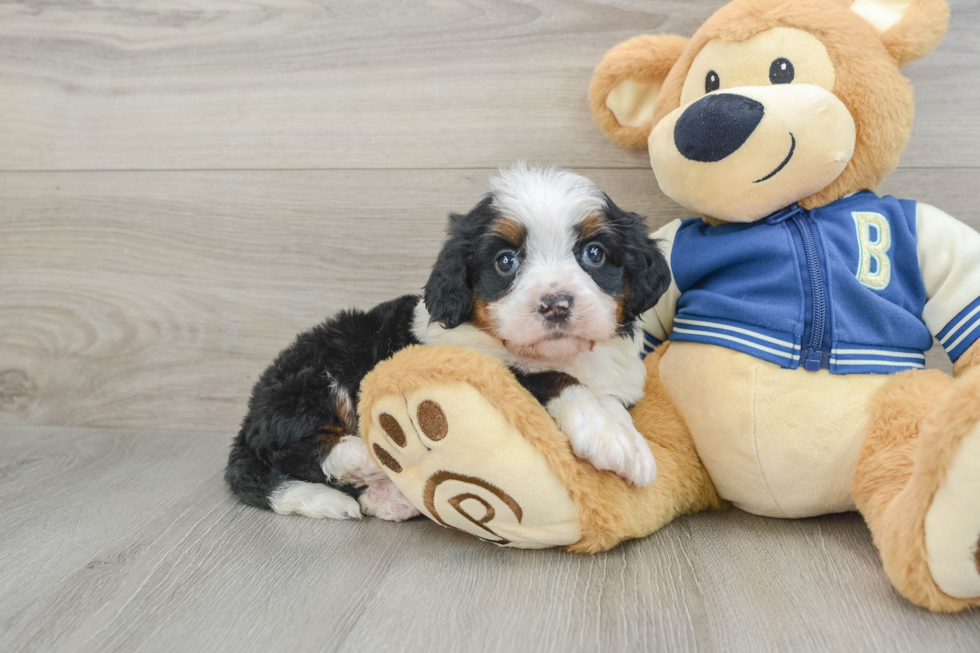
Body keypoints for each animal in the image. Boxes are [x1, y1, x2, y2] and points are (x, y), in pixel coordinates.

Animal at [226, 166, 668, 524]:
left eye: (594, 253)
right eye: (505, 261)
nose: (555, 304)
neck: (562, 353)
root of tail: (251, 415)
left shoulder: (618, 378)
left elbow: (609, 400)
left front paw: (621, 433)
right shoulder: (471, 363)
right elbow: (549, 379)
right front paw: (609, 437)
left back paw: (387, 497)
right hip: (316, 373)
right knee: (287, 448)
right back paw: (367, 457)